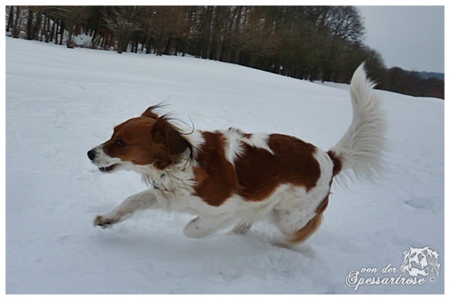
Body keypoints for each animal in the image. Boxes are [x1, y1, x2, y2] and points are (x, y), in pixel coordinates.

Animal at [87, 64, 386, 245]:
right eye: (112, 133)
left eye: (121, 143)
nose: (89, 153)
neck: (180, 163)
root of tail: (329, 157)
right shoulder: (166, 194)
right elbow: (131, 201)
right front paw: (108, 219)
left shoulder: (224, 208)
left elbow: (193, 228)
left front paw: (199, 229)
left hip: (289, 219)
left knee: (301, 231)